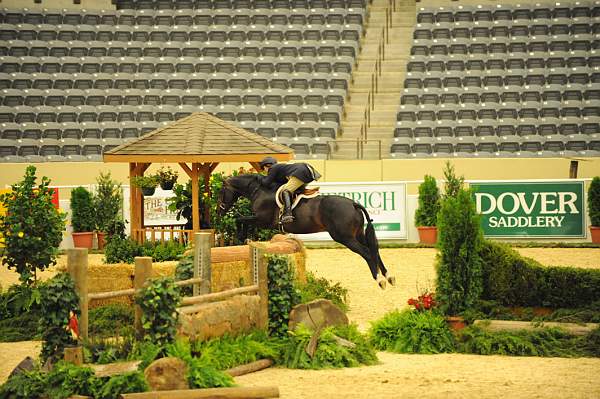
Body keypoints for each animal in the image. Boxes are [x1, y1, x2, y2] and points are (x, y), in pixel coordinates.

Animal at [216, 173, 394, 290]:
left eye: (221, 192)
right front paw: (243, 238)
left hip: (344, 237)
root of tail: (353, 204)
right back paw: (388, 276)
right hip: (357, 234)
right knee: (373, 249)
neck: (259, 190)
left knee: (367, 252)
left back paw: (379, 279)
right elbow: (241, 221)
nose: (219, 212)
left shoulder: (262, 220)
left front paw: (241, 238)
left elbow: (239, 220)